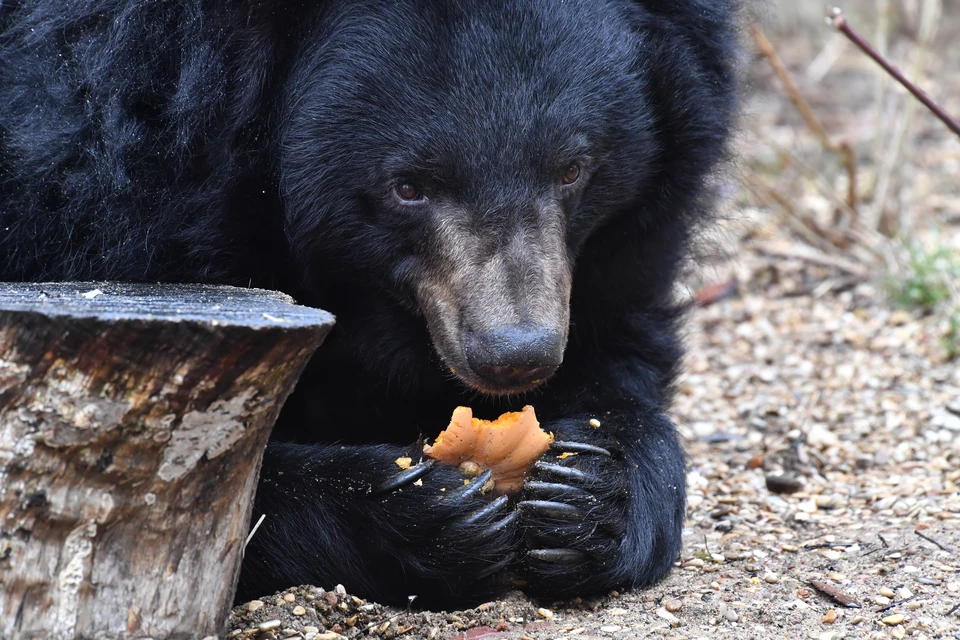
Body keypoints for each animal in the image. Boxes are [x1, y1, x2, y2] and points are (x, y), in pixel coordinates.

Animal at [0, 0, 740, 608]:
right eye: (408, 186)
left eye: (572, 169)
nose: (515, 356)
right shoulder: (94, 206)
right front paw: (429, 513)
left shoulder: (620, 251)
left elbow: (620, 359)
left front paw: (589, 493)